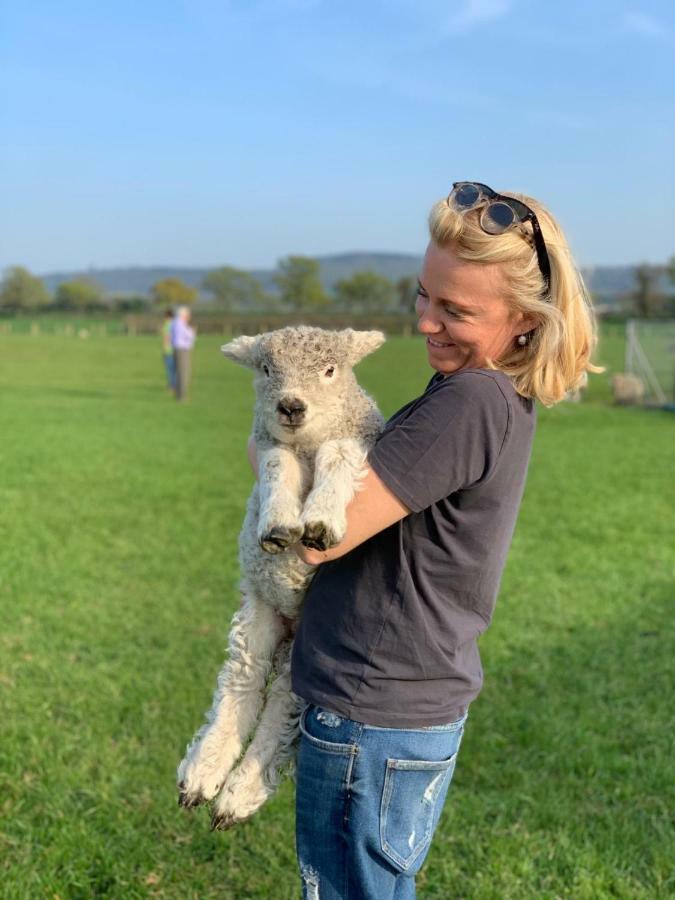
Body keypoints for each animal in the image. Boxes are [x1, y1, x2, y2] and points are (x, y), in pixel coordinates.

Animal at [177, 324, 386, 828]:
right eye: (268, 369)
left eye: (330, 370)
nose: (291, 406)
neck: (306, 442)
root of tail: (289, 626)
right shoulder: (272, 444)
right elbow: (276, 463)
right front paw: (277, 524)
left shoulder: (359, 438)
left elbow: (338, 453)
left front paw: (321, 521)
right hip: (259, 613)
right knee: (243, 684)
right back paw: (203, 776)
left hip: (304, 650)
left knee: (278, 709)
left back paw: (237, 792)